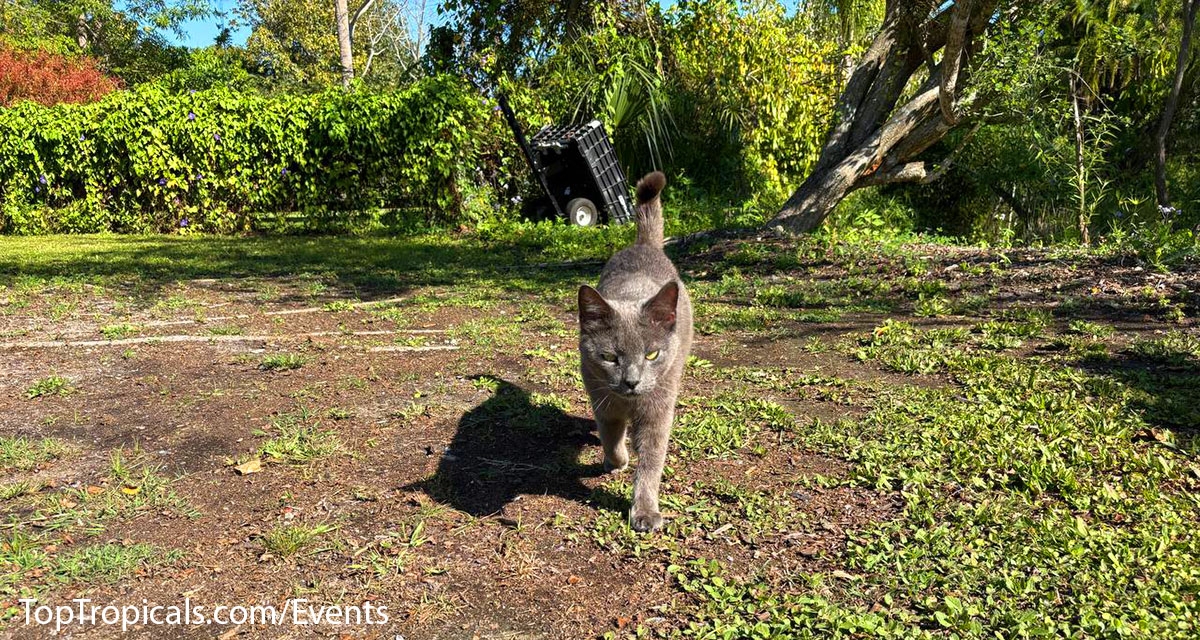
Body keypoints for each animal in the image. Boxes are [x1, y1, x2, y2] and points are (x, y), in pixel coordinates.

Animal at [578, 171, 696, 530]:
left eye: (652, 355)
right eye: (609, 357)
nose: (631, 381)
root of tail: (643, 244)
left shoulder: (659, 410)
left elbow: (652, 461)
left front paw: (644, 511)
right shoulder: (601, 398)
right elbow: (611, 437)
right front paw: (616, 461)